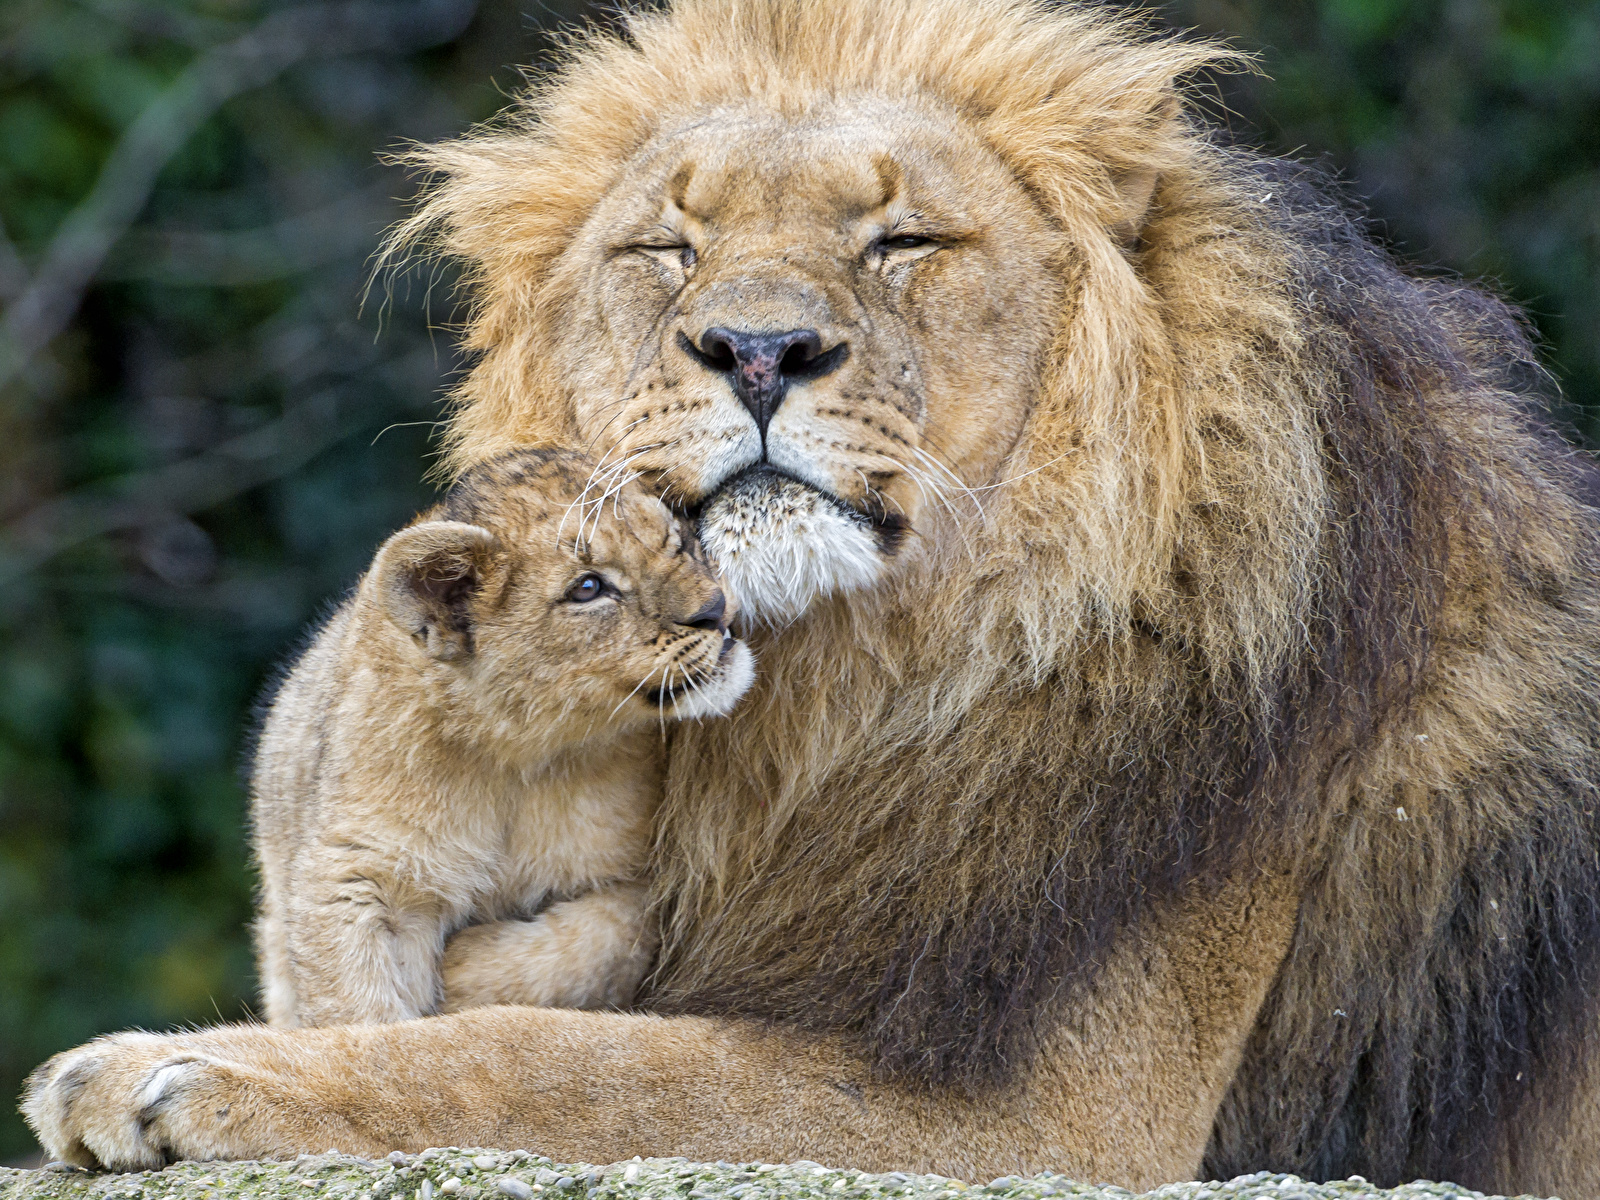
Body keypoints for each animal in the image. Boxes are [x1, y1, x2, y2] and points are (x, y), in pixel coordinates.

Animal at [21, 0, 1600, 1196]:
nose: (759, 349)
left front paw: (177, 1068)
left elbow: (568, 1066)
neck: (876, 675)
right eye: (668, 248)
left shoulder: (1048, 1119)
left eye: (901, 242)